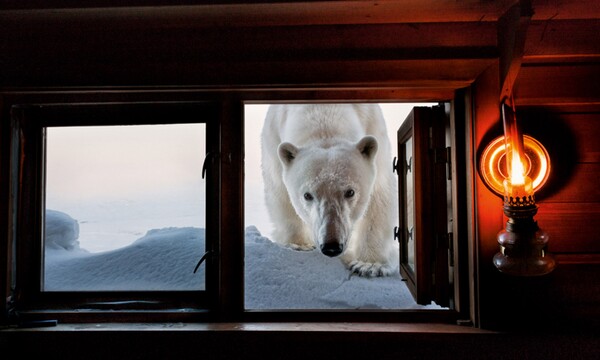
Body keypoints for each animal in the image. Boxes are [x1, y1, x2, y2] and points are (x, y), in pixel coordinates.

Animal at [262, 102, 398, 278]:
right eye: (307, 195)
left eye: (350, 192)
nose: (331, 246)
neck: (322, 111)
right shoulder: (273, 139)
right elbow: (280, 192)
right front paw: (299, 244)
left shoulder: (374, 128)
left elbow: (379, 196)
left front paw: (369, 265)